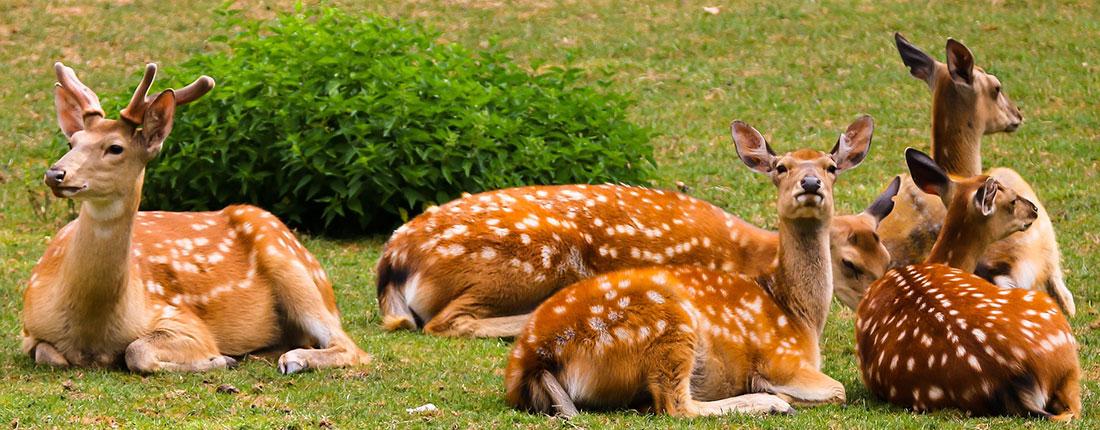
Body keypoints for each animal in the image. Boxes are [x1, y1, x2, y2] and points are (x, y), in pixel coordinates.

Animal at [21, 62, 371, 376]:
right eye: (72, 142)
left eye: (115, 147)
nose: (55, 174)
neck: (92, 332)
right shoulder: (27, 328)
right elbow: (47, 353)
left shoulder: (182, 319)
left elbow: (137, 351)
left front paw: (221, 359)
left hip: (293, 268)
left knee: (353, 348)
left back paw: (295, 359)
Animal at [503, 117, 871, 417]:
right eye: (781, 167)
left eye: (830, 167)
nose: (809, 183)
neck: (798, 314)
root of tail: (536, 358)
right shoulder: (783, 359)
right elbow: (838, 390)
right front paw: (774, 392)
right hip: (668, 326)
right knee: (675, 404)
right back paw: (770, 403)